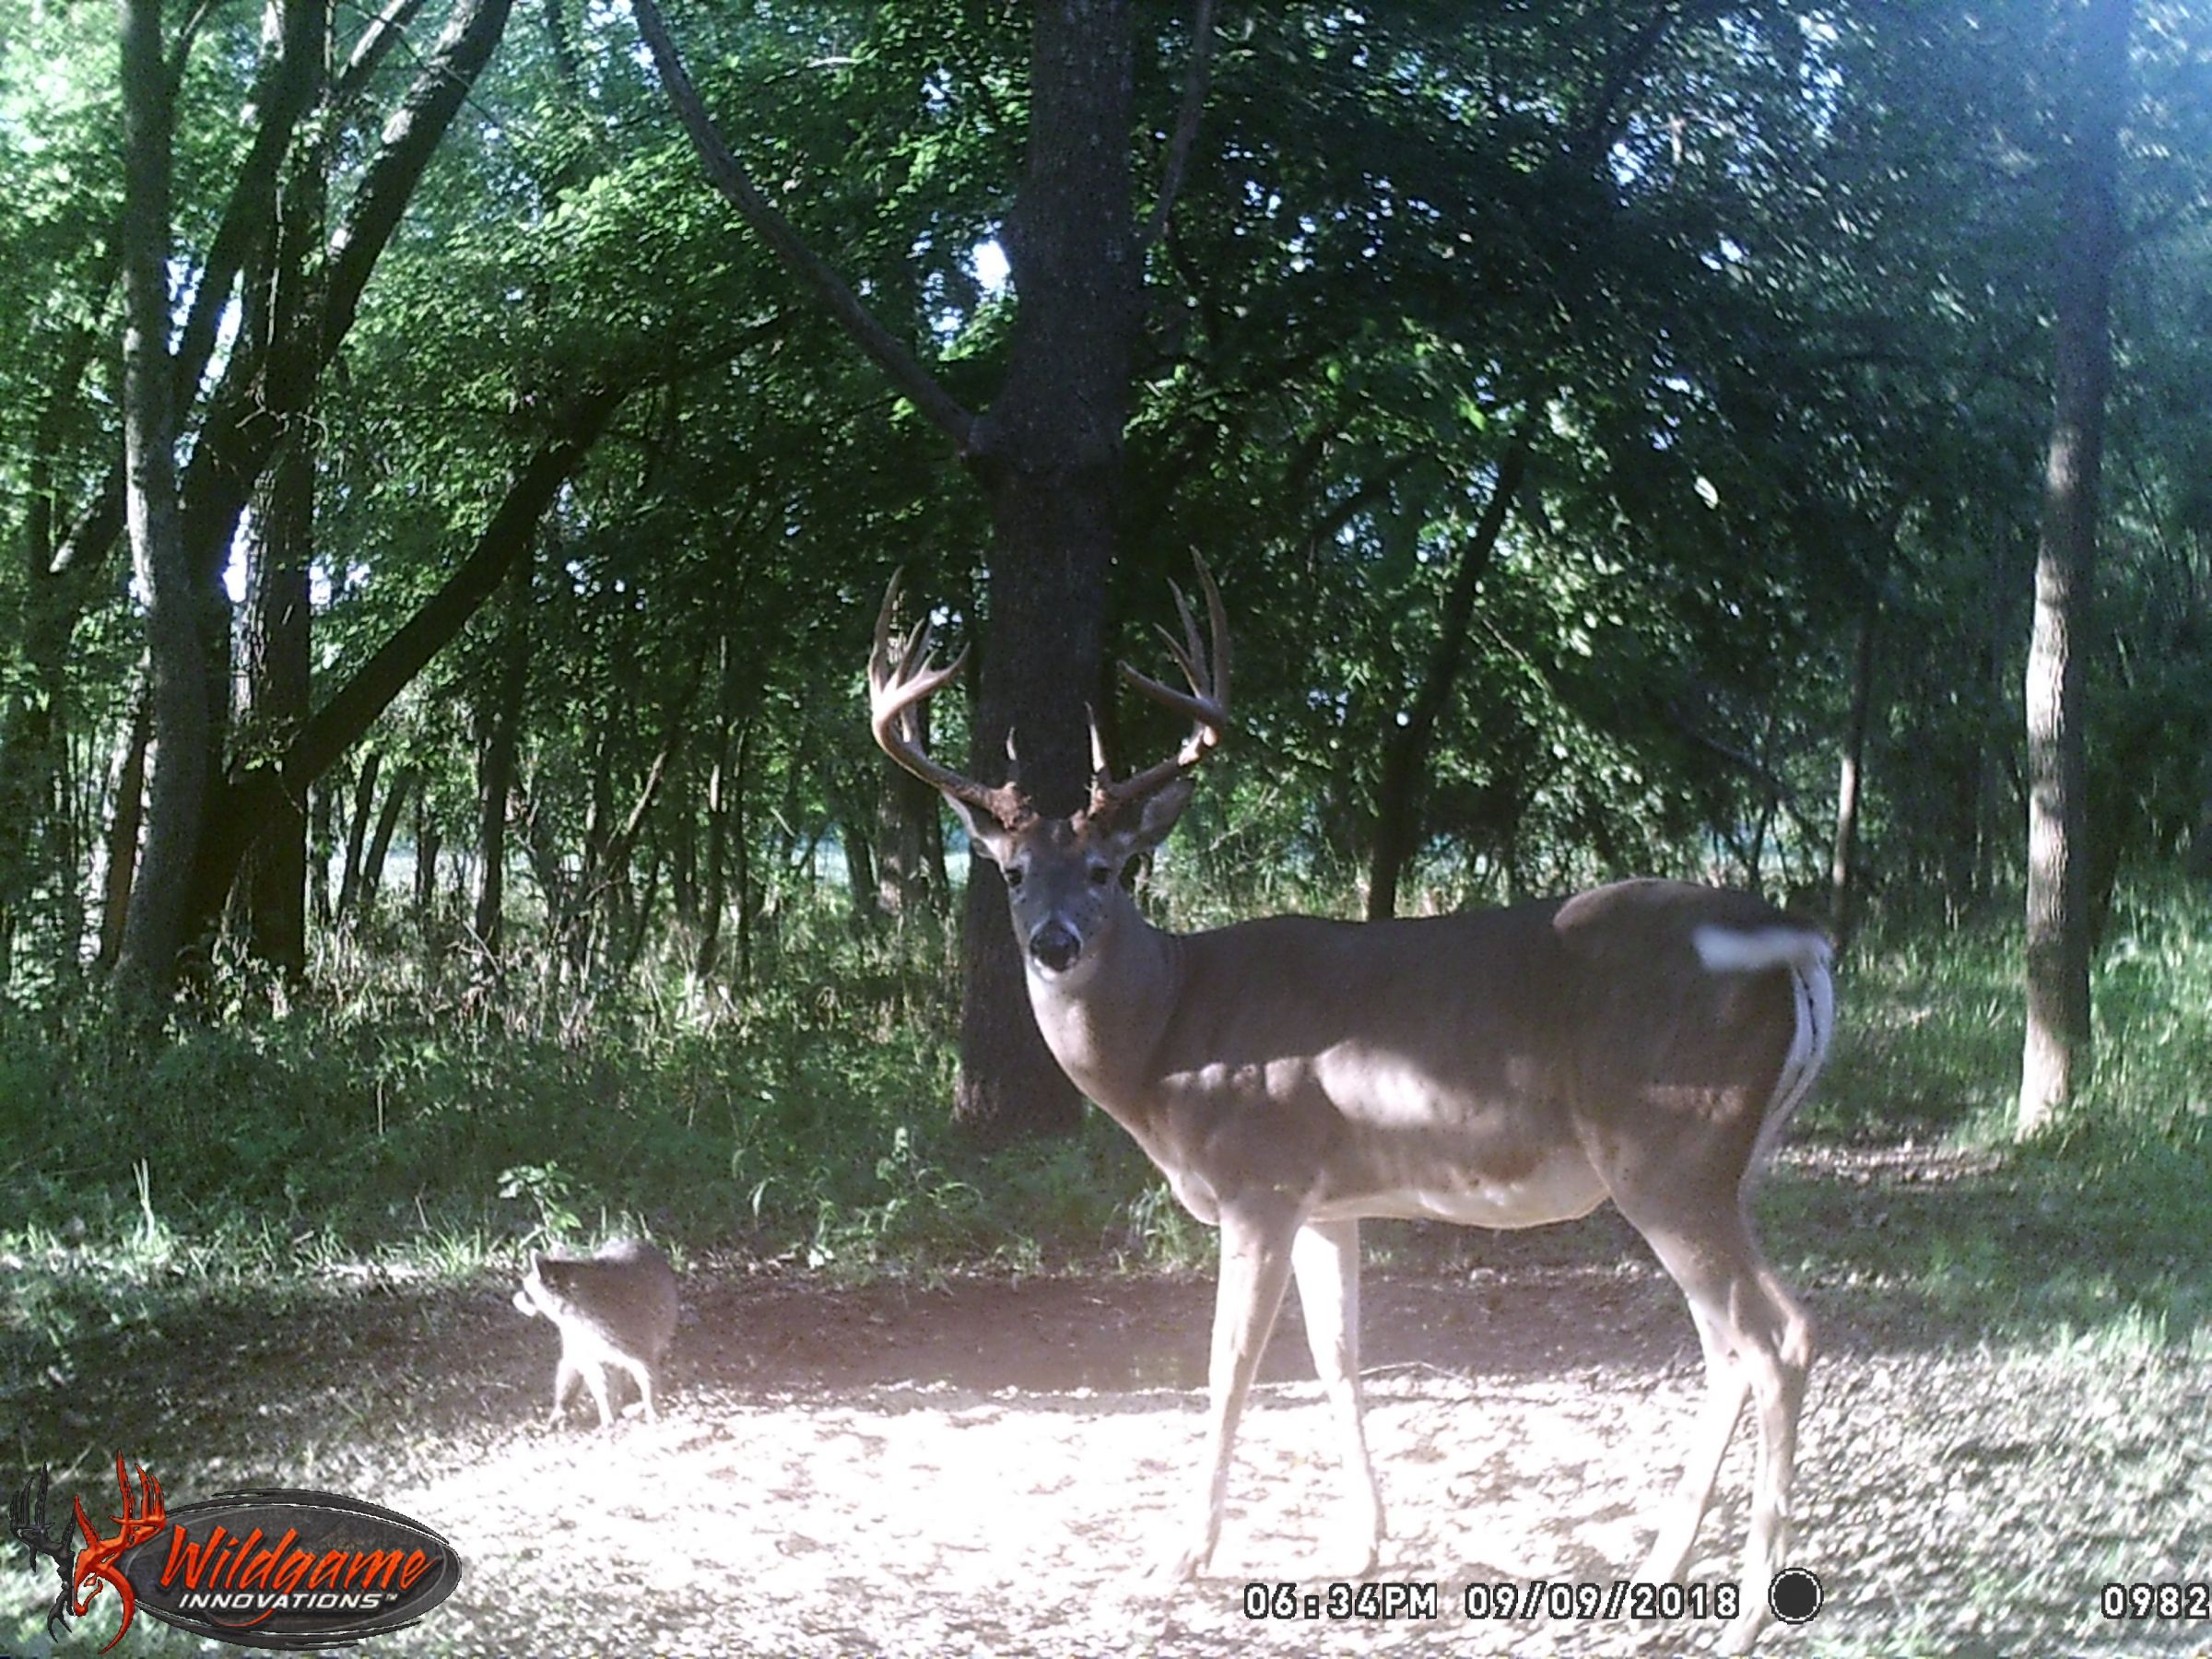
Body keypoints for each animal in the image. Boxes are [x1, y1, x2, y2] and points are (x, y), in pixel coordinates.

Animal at [512, 1239, 677, 1433]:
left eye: (526, 1291)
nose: (514, 1299)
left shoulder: (628, 1332)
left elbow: (645, 1368)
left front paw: (650, 1406)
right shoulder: (580, 1337)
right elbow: (597, 1382)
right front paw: (605, 1412)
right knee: (574, 1367)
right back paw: (563, 1406)